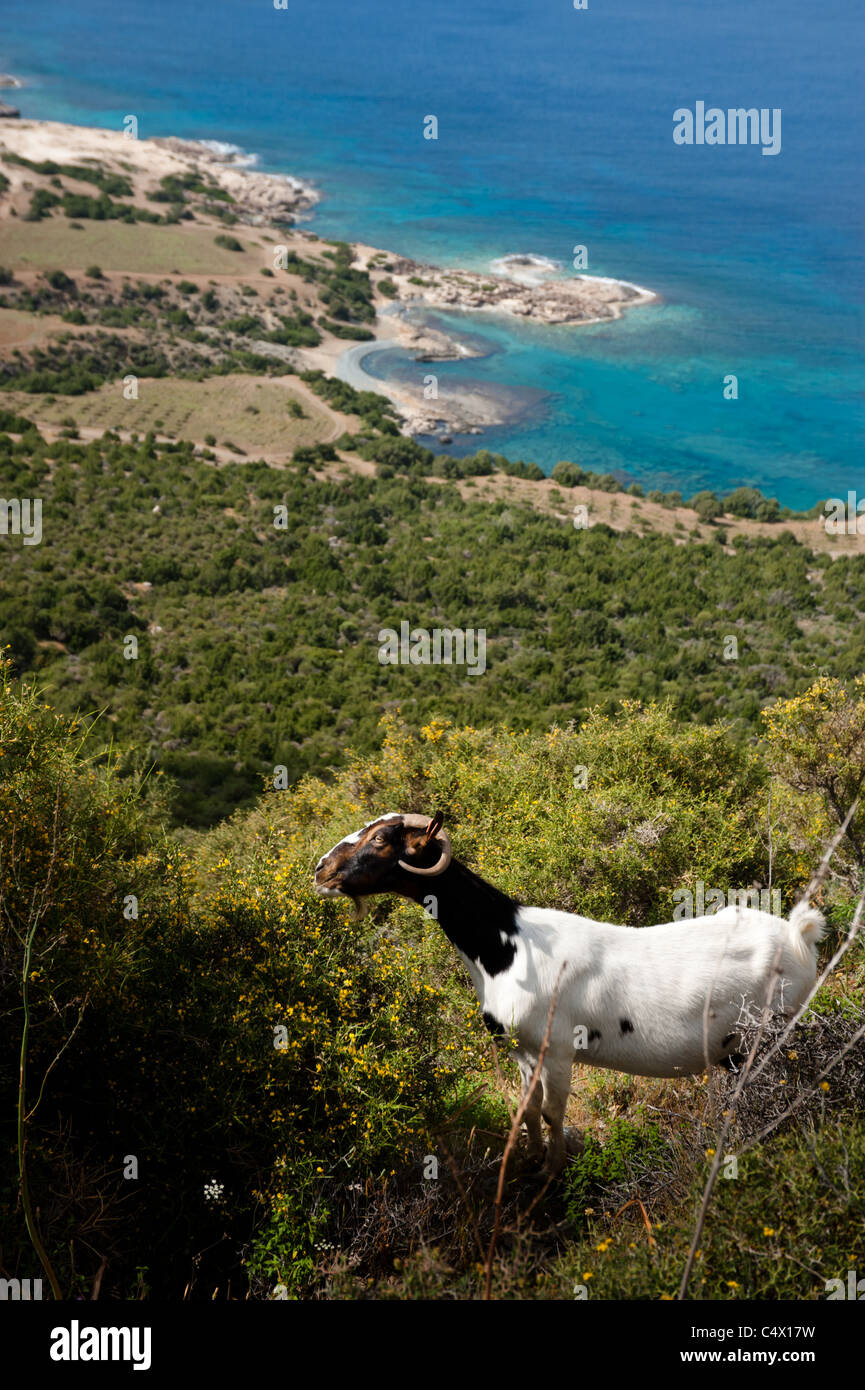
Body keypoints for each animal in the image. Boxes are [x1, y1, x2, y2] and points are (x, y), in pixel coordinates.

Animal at [313, 811, 825, 1178]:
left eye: (382, 839)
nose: (321, 869)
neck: (504, 945)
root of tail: (798, 936)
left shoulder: (556, 1049)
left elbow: (553, 1112)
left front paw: (552, 1171)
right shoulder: (522, 1051)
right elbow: (528, 1109)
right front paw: (529, 1159)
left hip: (768, 1033)